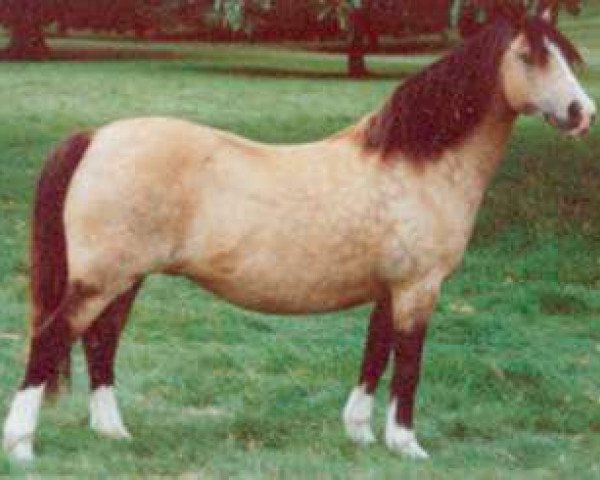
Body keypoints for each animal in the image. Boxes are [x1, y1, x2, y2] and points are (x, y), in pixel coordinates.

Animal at [3, 8, 596, 462]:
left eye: (564, 57)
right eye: (529, 56)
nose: (581, 112)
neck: (417, 165)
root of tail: (96, 137)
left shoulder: (390, 289)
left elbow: (374, 354)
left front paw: (359, 433)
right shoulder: (418, 289)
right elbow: (407, 364)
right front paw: (406, 445)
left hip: (124, 280)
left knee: (100, 343)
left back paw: (113, 432)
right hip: (102, 280)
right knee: (51, 340)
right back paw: (23, 446)